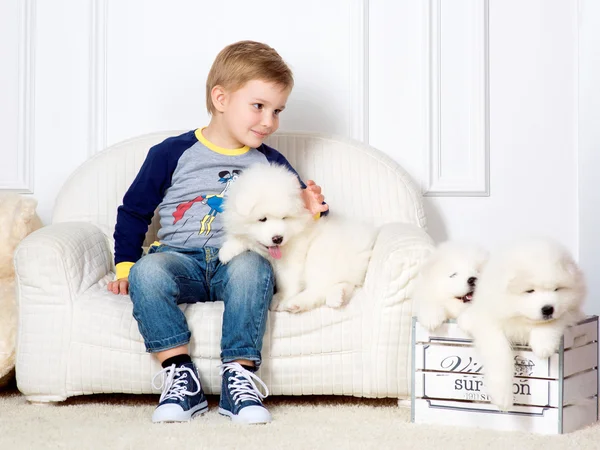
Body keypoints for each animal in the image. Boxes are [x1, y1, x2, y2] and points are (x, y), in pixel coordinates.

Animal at [460, 239, 584, 412]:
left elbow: (554, 321)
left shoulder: (572, 313)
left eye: (557, 289)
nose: (548, 309)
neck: (519, 318)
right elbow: (500, 354)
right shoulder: (489, 326)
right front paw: (503, 397)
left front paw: (543, 346)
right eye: (530, 291)